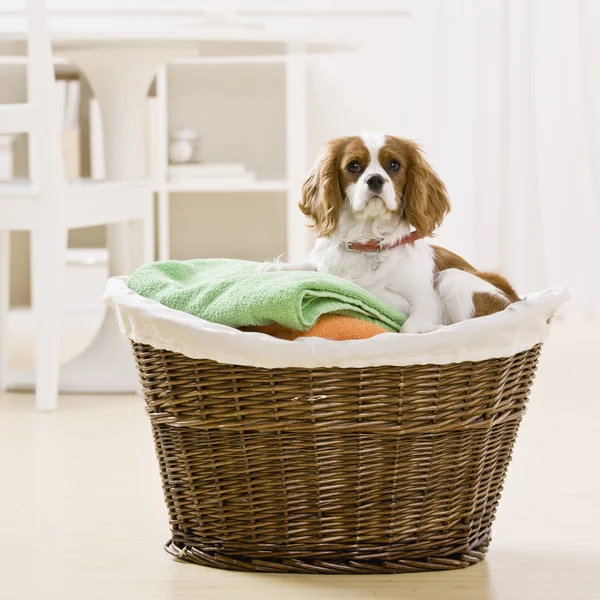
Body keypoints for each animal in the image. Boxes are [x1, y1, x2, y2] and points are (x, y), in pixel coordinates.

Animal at [264, 132, 520, 332]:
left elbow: (407, 326)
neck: (368, 242)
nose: (375, 179)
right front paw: (275, 267)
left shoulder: (425, 302)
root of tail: (514, 298)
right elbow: (310, 268)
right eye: (353, 166)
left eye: (394, 165)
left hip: (451, 277)